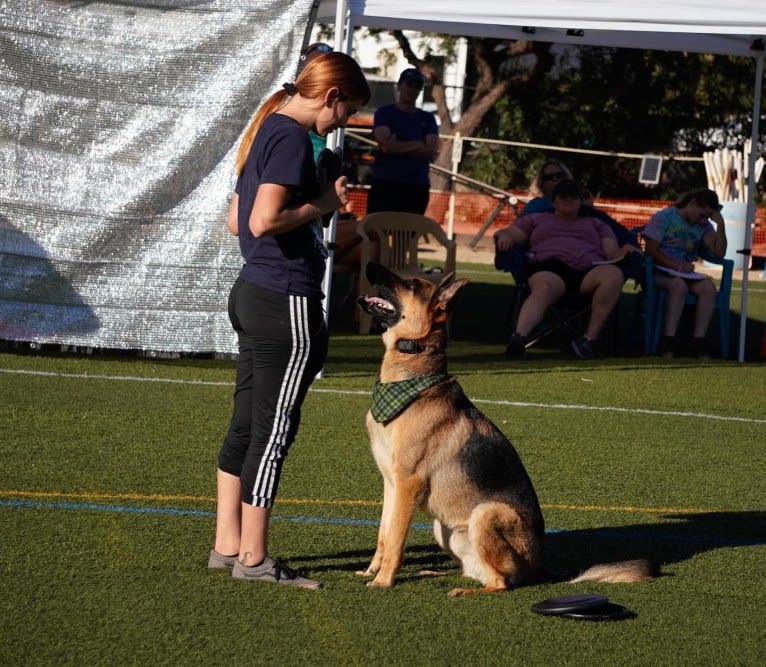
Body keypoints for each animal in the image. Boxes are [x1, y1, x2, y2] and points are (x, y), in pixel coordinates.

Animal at [356, 264, 656, 596]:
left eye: (410, 283)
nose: (371, 267)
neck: (409, 381)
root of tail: (540, 569)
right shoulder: (391, 485)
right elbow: (384, 535)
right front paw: (372, 570)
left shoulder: (407, 486)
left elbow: (396, 540)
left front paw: (383, 581)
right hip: (443, 527)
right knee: (477, 572)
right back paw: (434, 572)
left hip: (485, 514)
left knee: (501, 583)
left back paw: (465, 592)